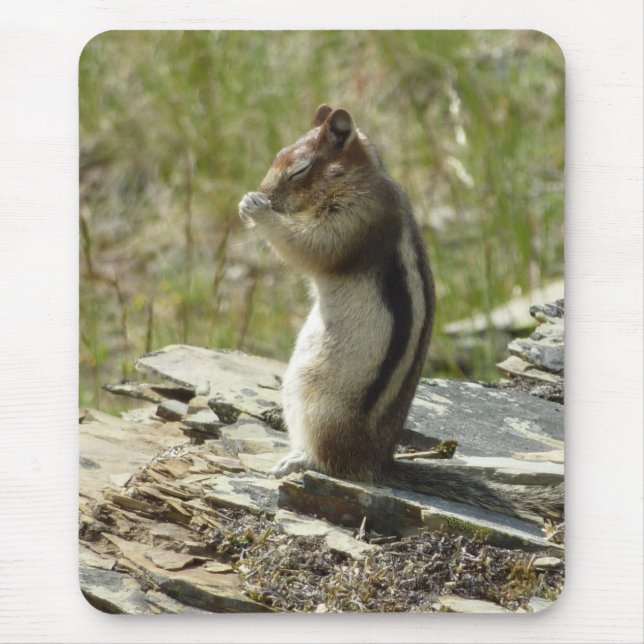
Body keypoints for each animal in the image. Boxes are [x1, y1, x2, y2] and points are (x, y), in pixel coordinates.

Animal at [239, 104, 563, 521]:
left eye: (298, 170)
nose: (264, 193)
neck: (358, 178)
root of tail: (377, 463)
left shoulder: (357, 218)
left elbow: (313, 247)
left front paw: (257, 210)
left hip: (314, 401)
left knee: (331, 463)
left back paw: (298, 460)